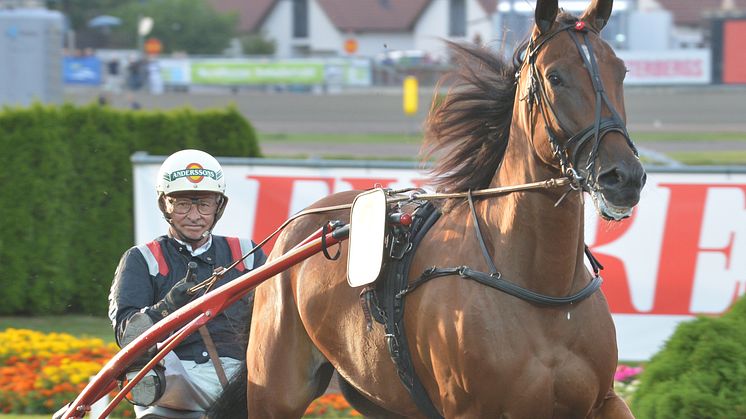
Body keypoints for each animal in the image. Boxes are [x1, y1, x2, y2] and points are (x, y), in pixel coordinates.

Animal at [246, 1, 644, 418]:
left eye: (620, 70)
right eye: (556, 76)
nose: (624, 177)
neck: (544, 290)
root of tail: (299, 226)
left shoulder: (603, 400)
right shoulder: (469, 408)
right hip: (274, 390)